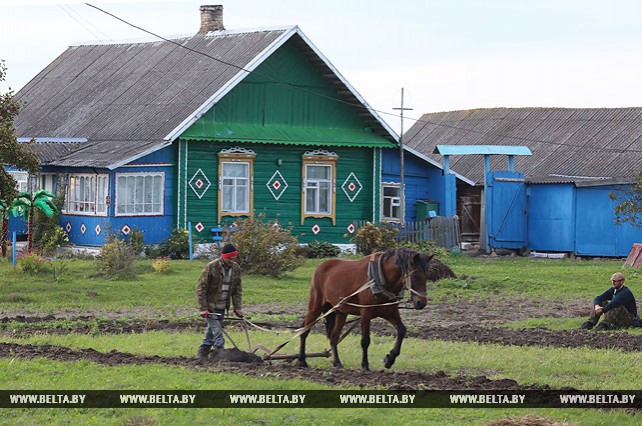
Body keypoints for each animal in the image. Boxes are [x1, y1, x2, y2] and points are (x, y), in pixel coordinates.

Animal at [296, 248, 450, 372]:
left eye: (427, 276)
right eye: (415, 275)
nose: (421, 303)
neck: (380, 278)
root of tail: (322, 266)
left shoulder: (390, 312)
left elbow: (401, 331)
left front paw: (389, 359)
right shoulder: (366, 313)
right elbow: (365, 340)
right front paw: (365, 365)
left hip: (341, 311)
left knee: (334, 337)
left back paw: (337, 363)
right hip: (315, 306)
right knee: (304, 329)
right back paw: (302, 360)